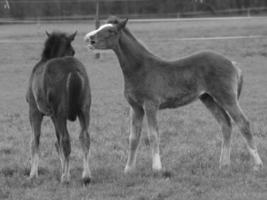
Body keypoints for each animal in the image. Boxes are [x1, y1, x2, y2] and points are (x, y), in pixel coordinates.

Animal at [27, 30, 92, 183]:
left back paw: (66, 177)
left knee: (66, 140)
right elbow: (57, 141)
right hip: (84, 110)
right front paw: (63, 168)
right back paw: (86, 175)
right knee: (84, 137)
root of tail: (73, 71)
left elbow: (35, 140)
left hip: (61, 113)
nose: (72, 53)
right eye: (73, 51)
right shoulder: (53, 116)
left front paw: (33, 174)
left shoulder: (34, 110)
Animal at [85, 16, 264, 173]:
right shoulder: (135, 108)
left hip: (226, 97)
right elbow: (133, 138)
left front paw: (157, 168)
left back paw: (257, 165)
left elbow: (153, 135)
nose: (89, 39)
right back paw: (224, 164)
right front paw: (128, 169)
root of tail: (232, 63)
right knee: (225, 124)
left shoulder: (150, 105)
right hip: (208, 98)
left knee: (243, 123)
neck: (140, 68)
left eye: (111, 30)